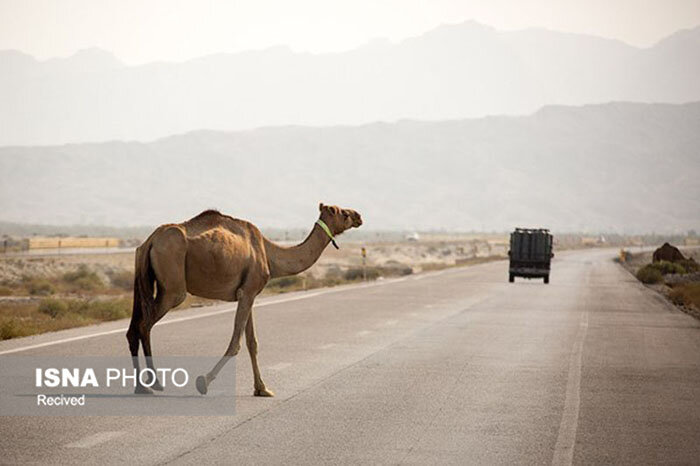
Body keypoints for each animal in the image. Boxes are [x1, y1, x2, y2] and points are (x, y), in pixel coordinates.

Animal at [126, 202, 364, 396]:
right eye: (343, 212)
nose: (359, 215)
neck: (269, 253)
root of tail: (150, 241)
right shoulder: (248, 292)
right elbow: (236, 344)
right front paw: (204, 381)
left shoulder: (249, 293)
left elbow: (252, 343)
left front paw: (262, 389)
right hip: (172, 285)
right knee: (145, 324)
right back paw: (154, 383)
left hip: (145, 278)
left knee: (133, 328)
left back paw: (141, 386)